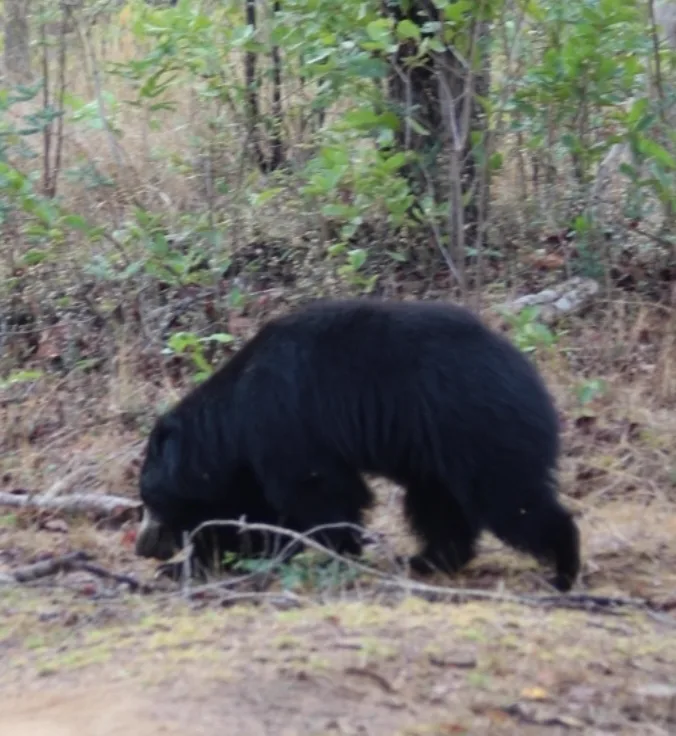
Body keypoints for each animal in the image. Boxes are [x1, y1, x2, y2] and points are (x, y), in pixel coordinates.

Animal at [136, 298, 580, 592]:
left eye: (149, 501)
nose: (144, 547)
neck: (232, 421)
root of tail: (529, 375)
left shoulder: (284, 424)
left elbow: (316, 495)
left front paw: (332, 554)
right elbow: (251, 516)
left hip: (478, 428)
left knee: (512, 501)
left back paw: (563, 569)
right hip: (436, 451)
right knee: (439, 506)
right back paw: (427, 559)